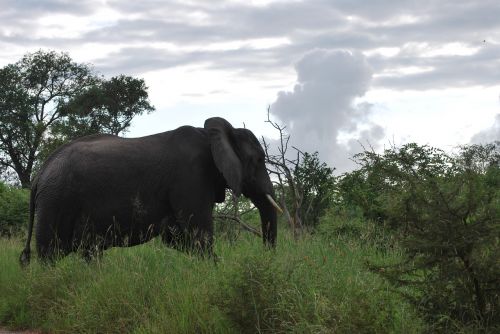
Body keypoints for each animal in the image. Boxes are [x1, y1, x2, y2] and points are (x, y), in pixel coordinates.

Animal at [19, 117, 282, 264]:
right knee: (50, 254)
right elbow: (200, 235)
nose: (266, 259)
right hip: (56, 201)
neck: (213, 135)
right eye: (259, 160)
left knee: (89, 252)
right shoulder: (191, 177)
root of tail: (39, 175)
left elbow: (177, 238)